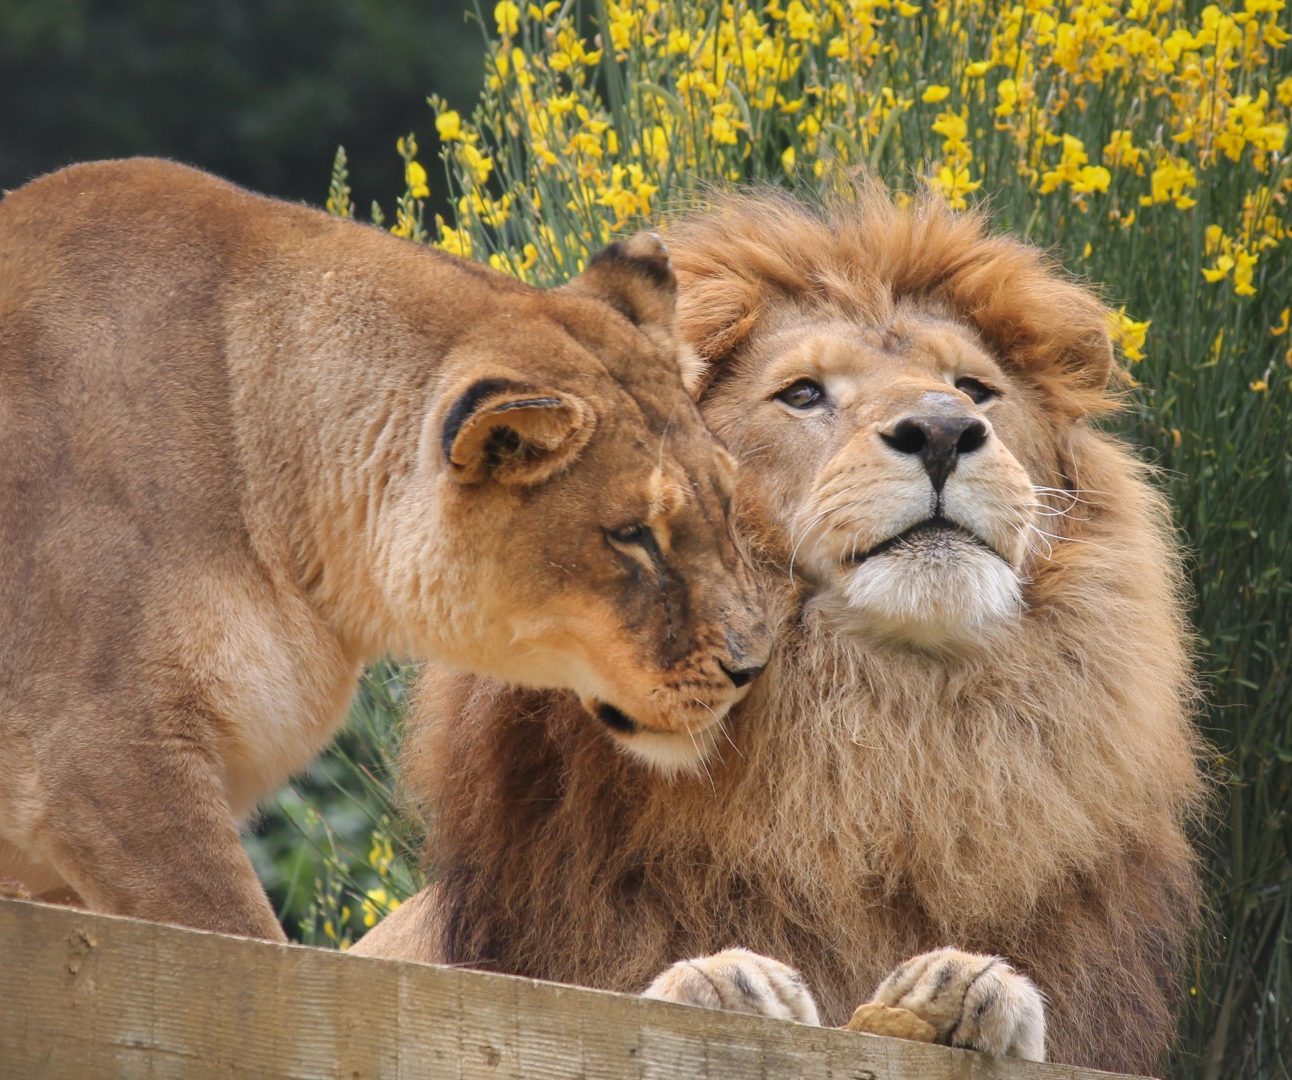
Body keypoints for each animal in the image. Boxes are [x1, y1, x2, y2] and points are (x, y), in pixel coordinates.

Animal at [353, 184, 1206, 1074]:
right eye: (802, 394)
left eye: (976, 389)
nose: (944, 431)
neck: (882, 725)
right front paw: (723, 985)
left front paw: (974, 992)